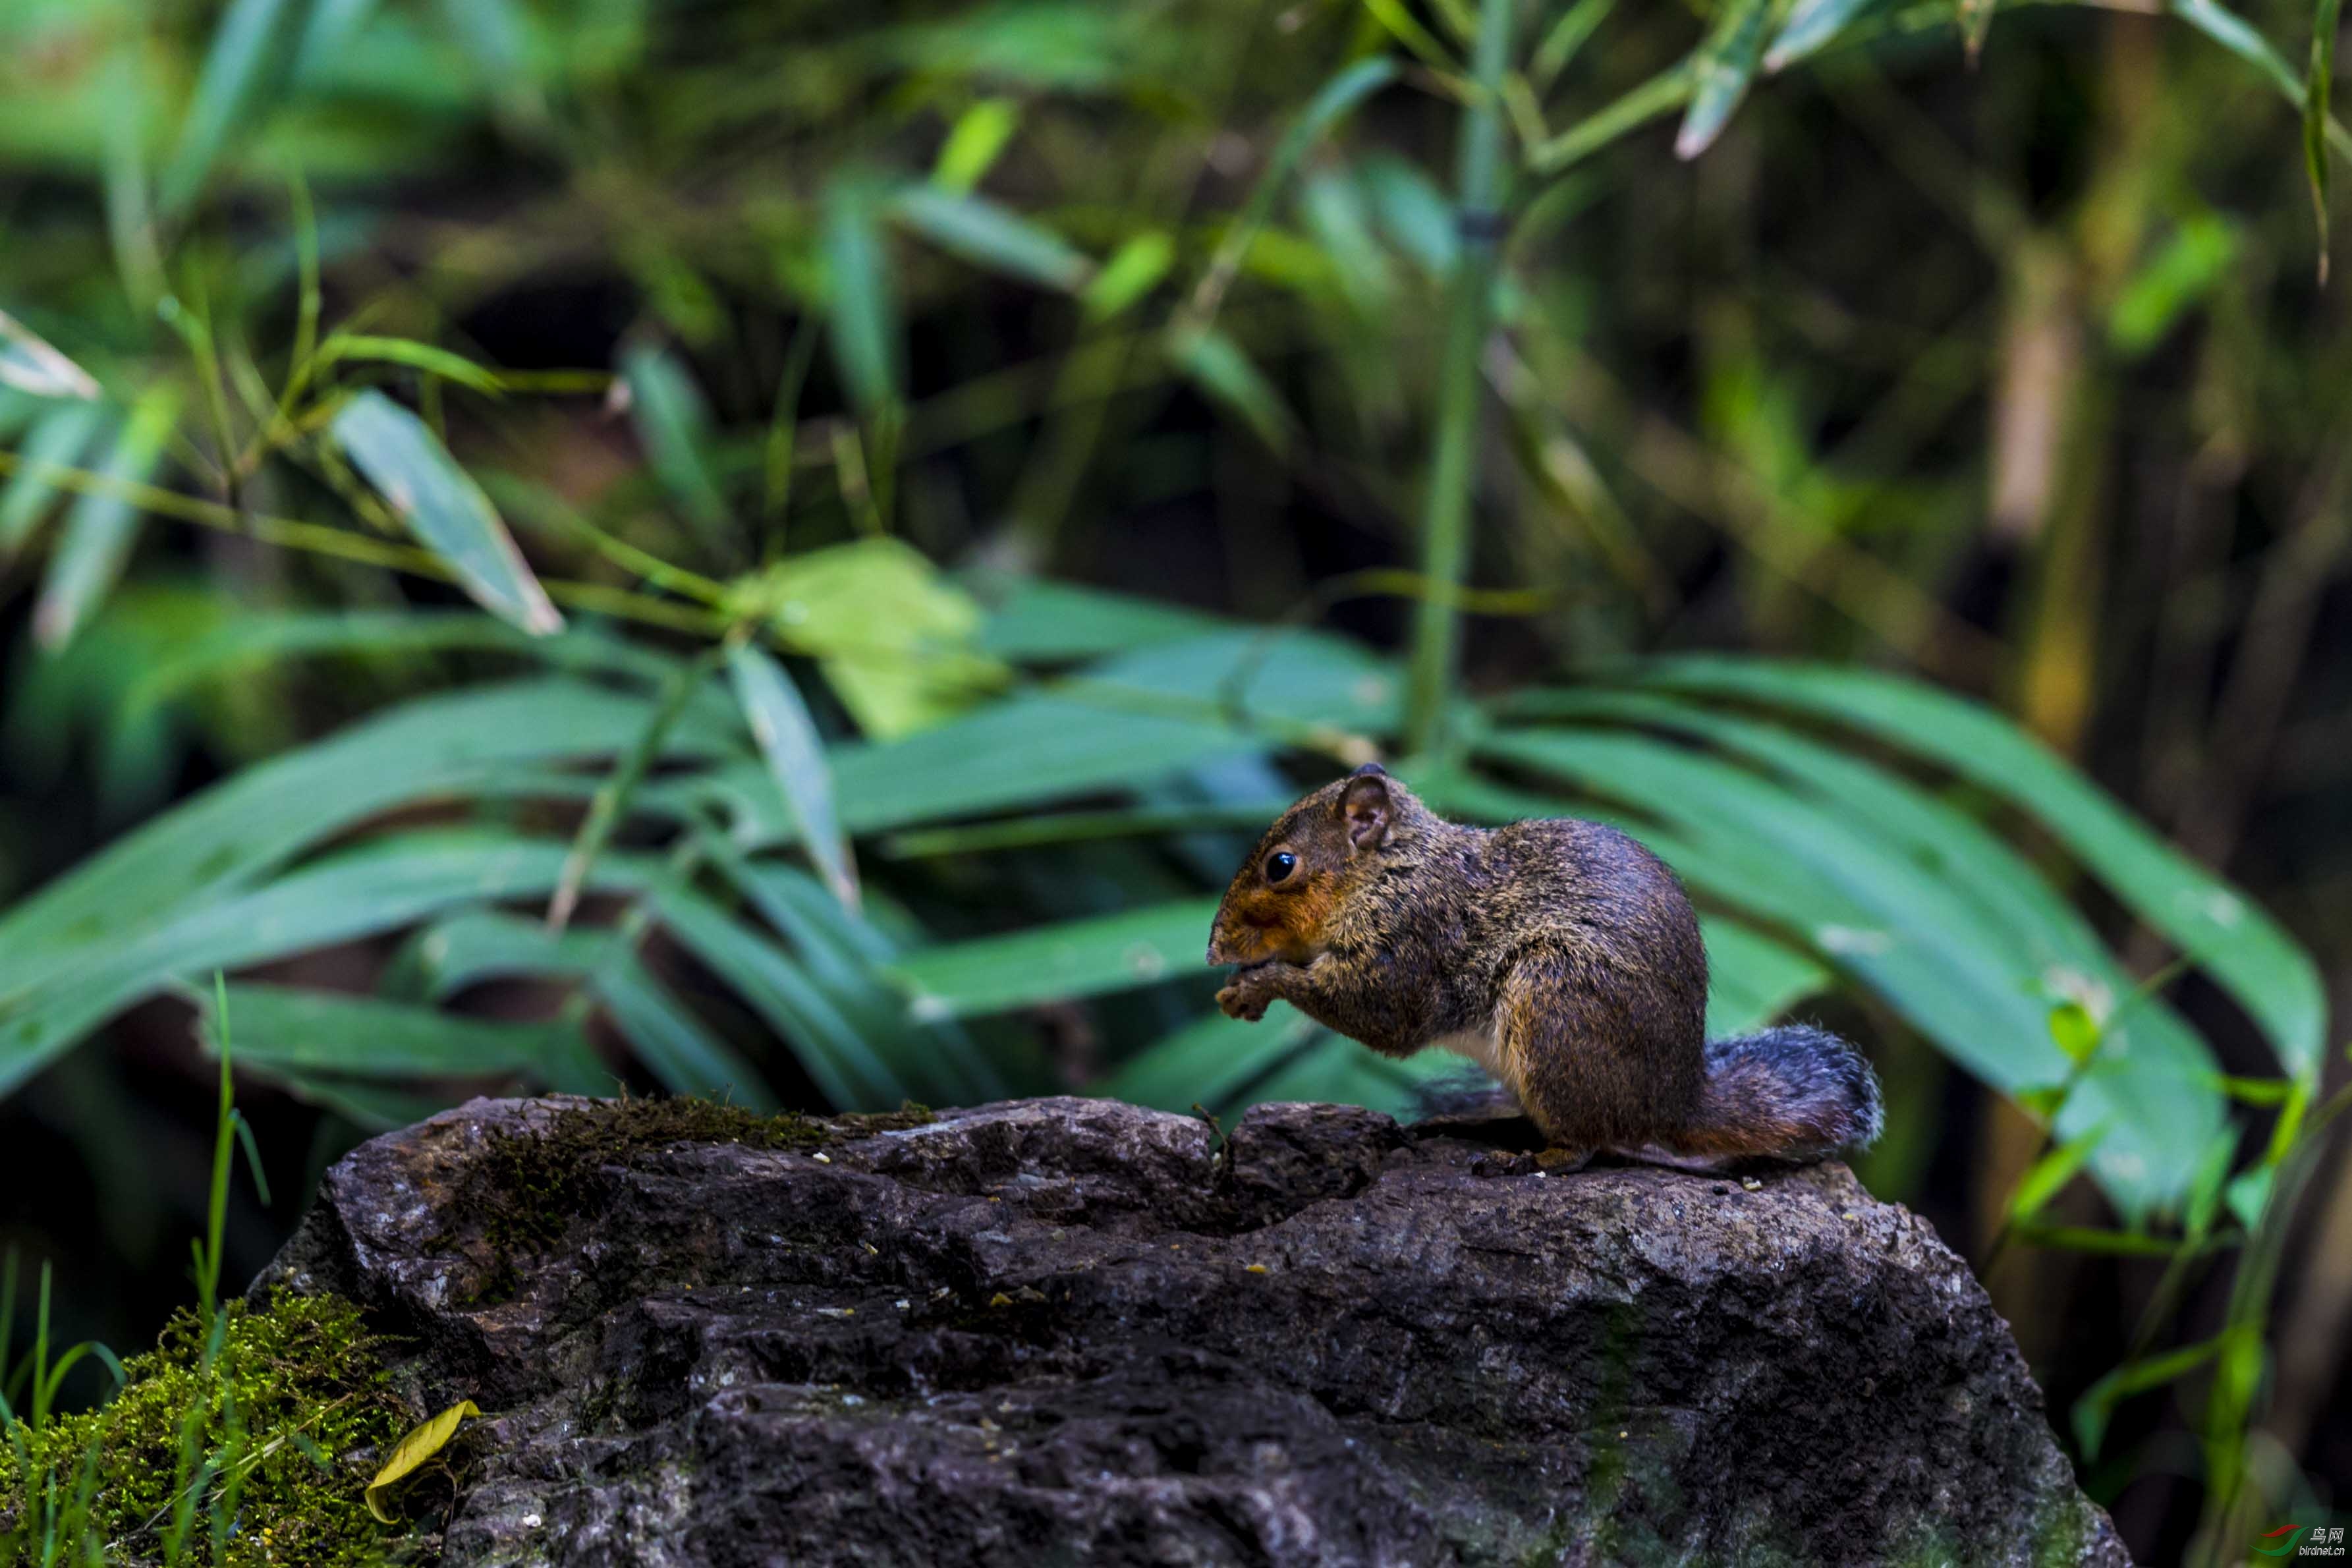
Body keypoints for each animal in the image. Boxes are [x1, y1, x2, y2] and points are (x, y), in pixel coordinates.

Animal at [1204, 766, 1882, 1170]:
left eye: (1281, 865)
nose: (1213, 950)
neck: (1392, 872)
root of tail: (1673, 1104)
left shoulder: (1408, 947)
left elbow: (1377, 1015)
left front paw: (1260, 983)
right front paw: (1242, 986)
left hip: (1556, 1005)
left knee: (1590, 1143)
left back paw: (1531, 1160)